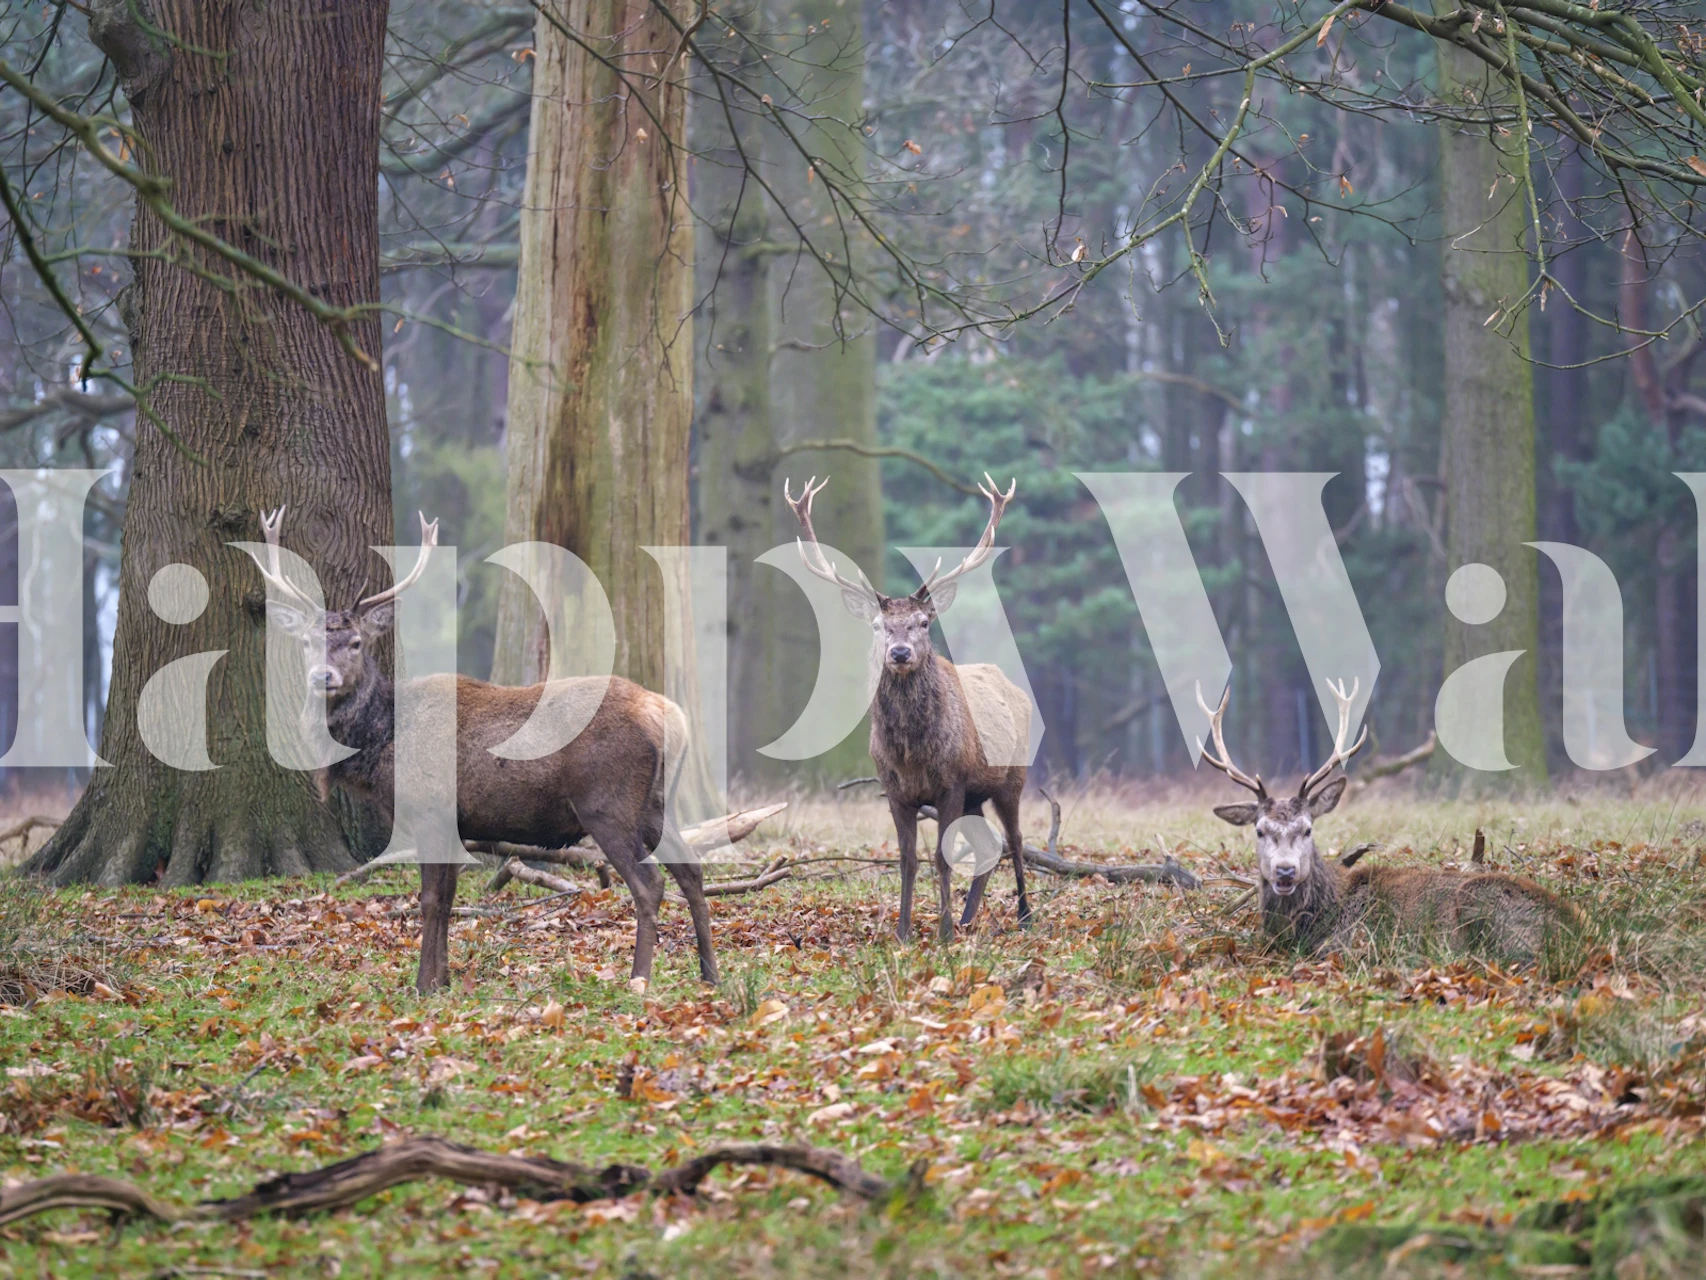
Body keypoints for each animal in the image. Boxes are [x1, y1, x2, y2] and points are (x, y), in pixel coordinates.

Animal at [249, 508, 718, 996]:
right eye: (306, 642)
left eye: (356, 643)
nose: (322, 676)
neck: (382, 744)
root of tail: (669, 716)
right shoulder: (455, 822)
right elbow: (448, 897)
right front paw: (444, 980)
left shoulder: (430, 811)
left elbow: (430, 899)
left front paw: (423, 985)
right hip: (657, 803)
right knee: (692, 869)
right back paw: (710, 974)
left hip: (607, 802)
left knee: (650, 882)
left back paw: (639, 978)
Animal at [785, 474, 1032, 943]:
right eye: (878, 625)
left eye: (923, 622)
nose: (899, 652)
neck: (912, 754)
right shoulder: (896, 791)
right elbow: (908, 859)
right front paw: (902, 932)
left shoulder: (952, 783)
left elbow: (942, 857)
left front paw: (944, 933)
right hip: (976, 796)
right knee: (989, 845)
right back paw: (970, 918)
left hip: (1012, 778)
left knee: (1015, 840)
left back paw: (1025, 916)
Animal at [1200, 678, 1581, 962]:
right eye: (1260, 830)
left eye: (1307, 829)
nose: (1284, 871)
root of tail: (1580, 927)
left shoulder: (1348, 942)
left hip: (1483, 903)